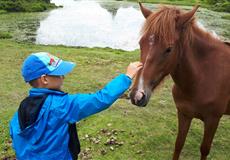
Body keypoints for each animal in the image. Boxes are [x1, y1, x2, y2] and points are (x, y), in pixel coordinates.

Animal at [129, 2, 230, 160]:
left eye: (169, 49)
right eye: (141, 43)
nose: (137, 96)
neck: (203, 79)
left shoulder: (213, 120)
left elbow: (204, 149)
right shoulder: (184, 114)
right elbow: (179, 144)